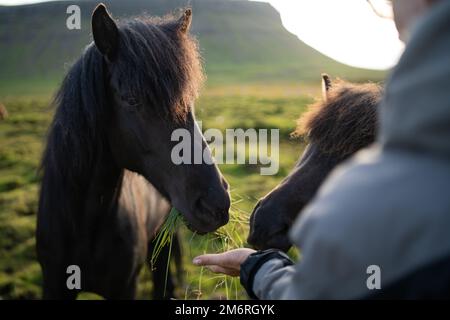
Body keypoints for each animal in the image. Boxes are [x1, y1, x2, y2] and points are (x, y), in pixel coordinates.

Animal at [37, 4, 230, 300]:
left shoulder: (125, 286)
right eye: (131, 99)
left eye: (189, 100)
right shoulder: (53, 284)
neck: (84, 223)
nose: (216, 204)